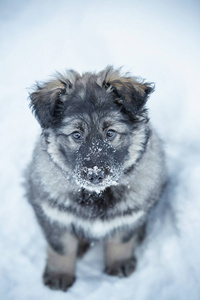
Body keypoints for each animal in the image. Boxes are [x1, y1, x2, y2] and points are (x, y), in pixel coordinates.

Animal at [25, 65, 166, 290]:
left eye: (110, 133)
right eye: (76, 135)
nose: (95, 175)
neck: (97, 194)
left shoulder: (130, 216)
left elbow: (120, 242)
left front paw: (118, 264)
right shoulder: (53, 214)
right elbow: (61, 248)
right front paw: (59, 274)